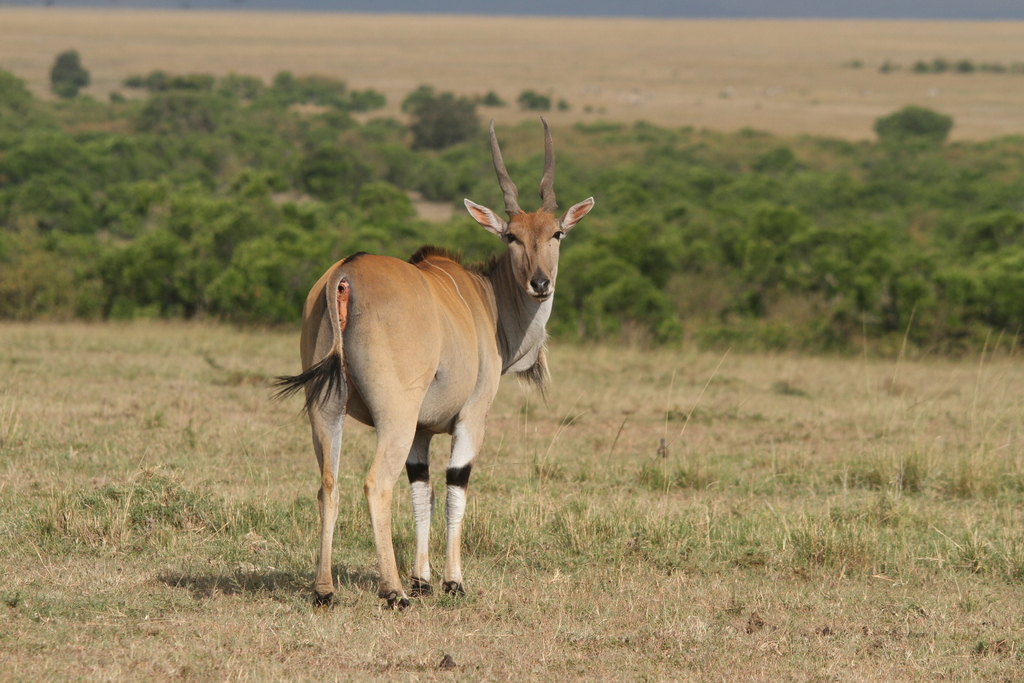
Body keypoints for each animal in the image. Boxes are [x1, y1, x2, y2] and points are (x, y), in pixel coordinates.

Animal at [274, 117, 593, 610]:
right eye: (512, 236)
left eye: (556, 233)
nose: (541, 283)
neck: (488, 301)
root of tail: (344, 275)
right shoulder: (470, 417)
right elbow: (454, 486)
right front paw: (450, 581)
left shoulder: (422, 433)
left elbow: (420, 487)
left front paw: (423, 578)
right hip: (396, 415)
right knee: (375, 483)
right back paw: (393, 592)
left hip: (326, 410)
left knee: (328, 484)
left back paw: (325, 590)